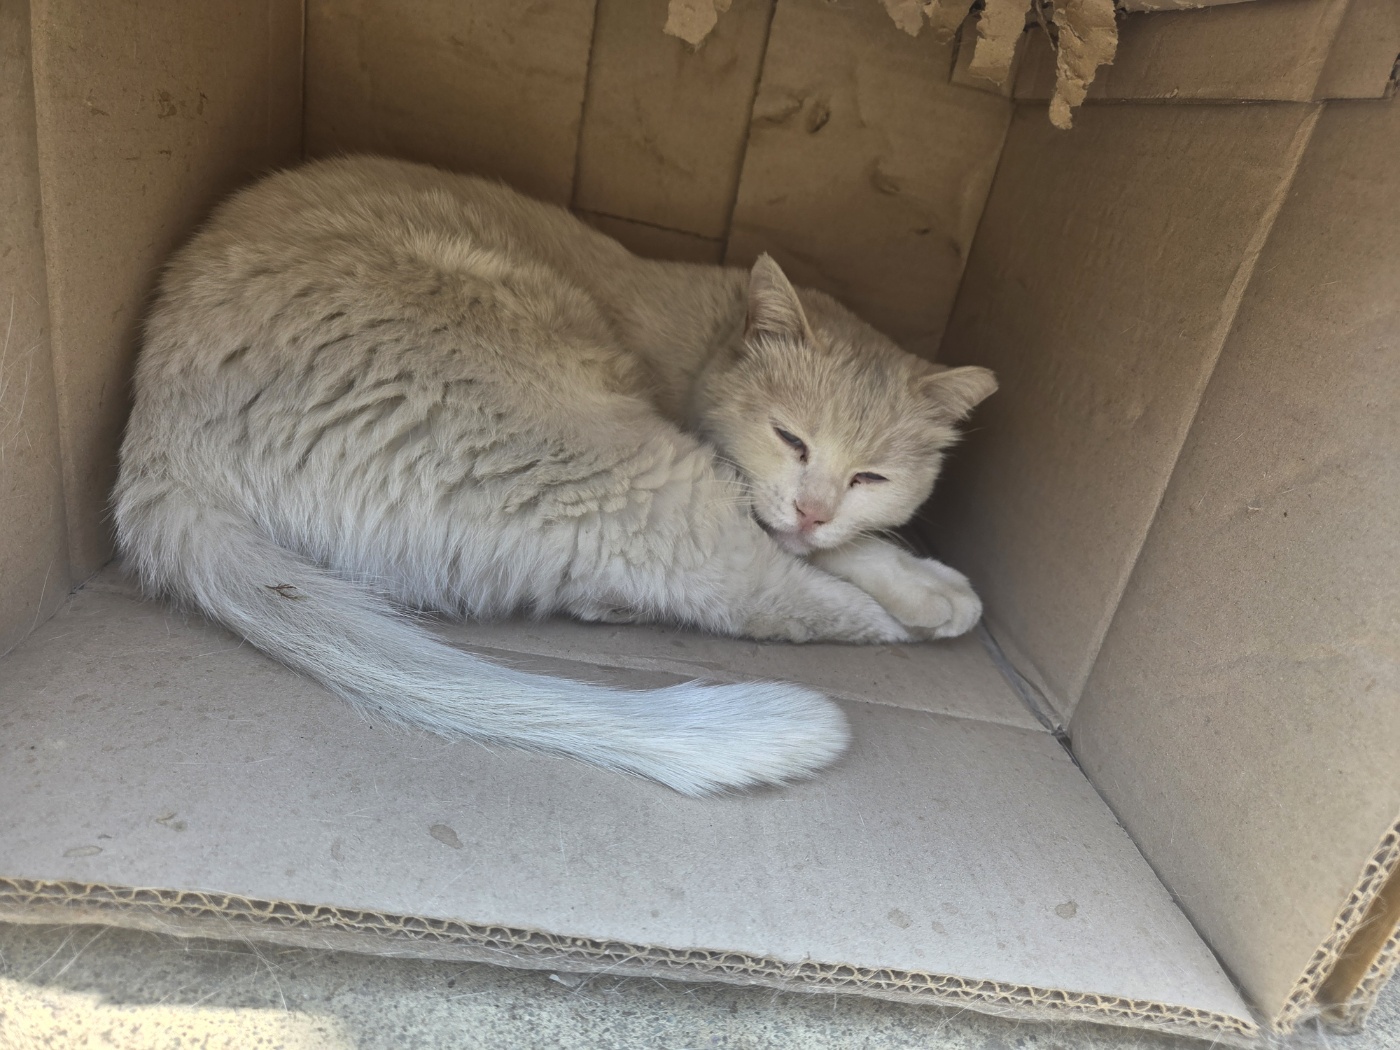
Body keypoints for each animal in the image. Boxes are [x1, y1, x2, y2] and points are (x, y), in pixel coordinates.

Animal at [114, 156, 996, 796]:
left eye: (872, 476)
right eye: (792, 440)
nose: (815, 509)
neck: (705, 339)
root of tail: (156, 447)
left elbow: (847, 539)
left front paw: (899, 562)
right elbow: (821, 547)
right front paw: (922, 590)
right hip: (622, 468)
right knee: (754, 590)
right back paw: (901, 619)